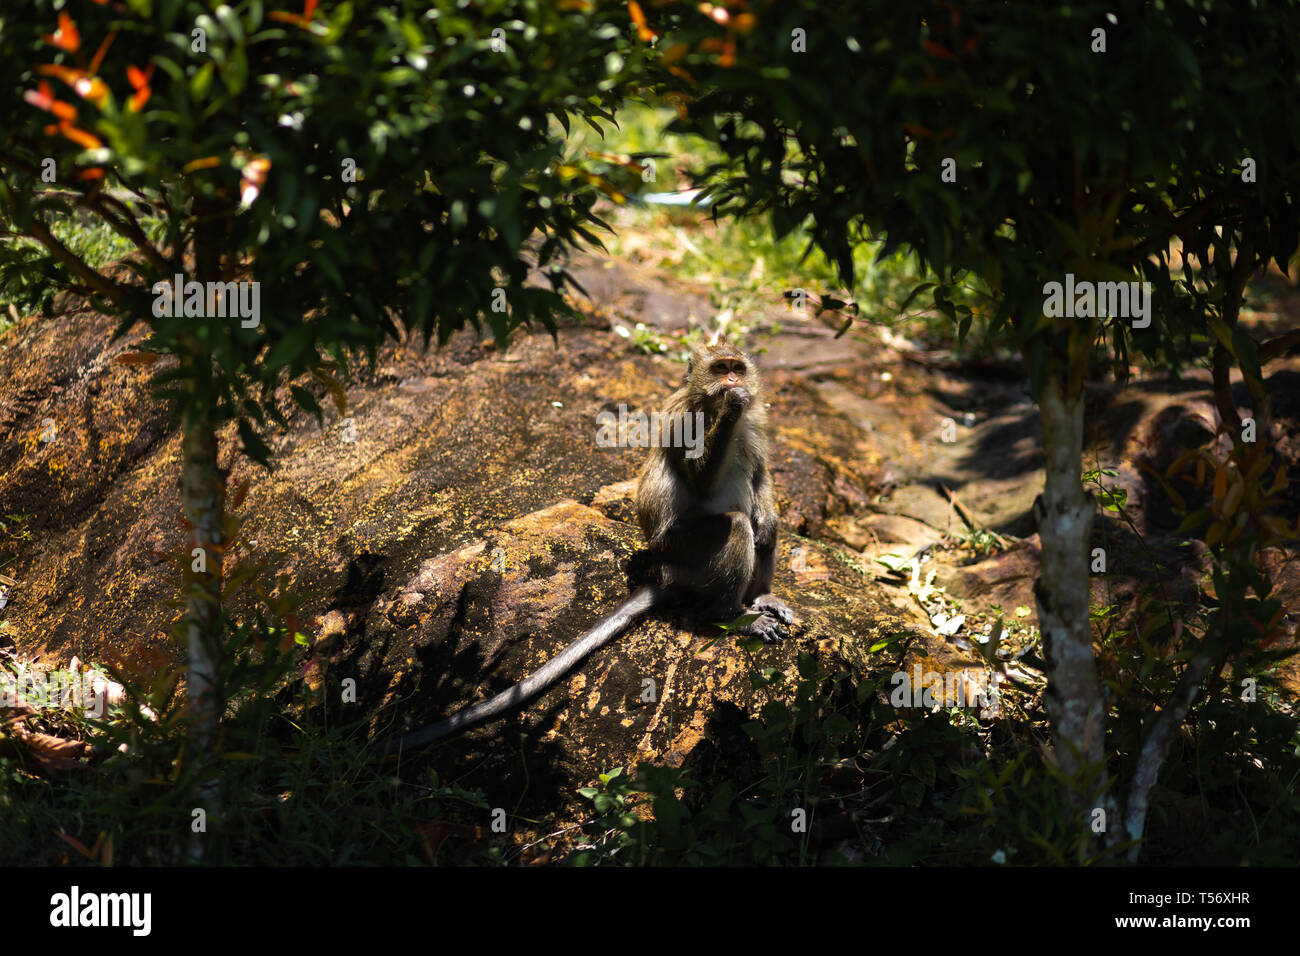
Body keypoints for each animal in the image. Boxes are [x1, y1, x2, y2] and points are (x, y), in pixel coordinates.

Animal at [373, 338, 794, 755]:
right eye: (721, 369)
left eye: (737, 367)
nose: (733, 382)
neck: (711, 404)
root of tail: (666, 573)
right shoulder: (685, 418)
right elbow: (702, 482)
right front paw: (732, 406)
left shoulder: (756, 423)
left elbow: (760, 476)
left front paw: (767, 513)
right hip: (685, 551)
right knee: (736, 526)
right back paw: (734, 616)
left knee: (760, 530)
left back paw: (760, 596)